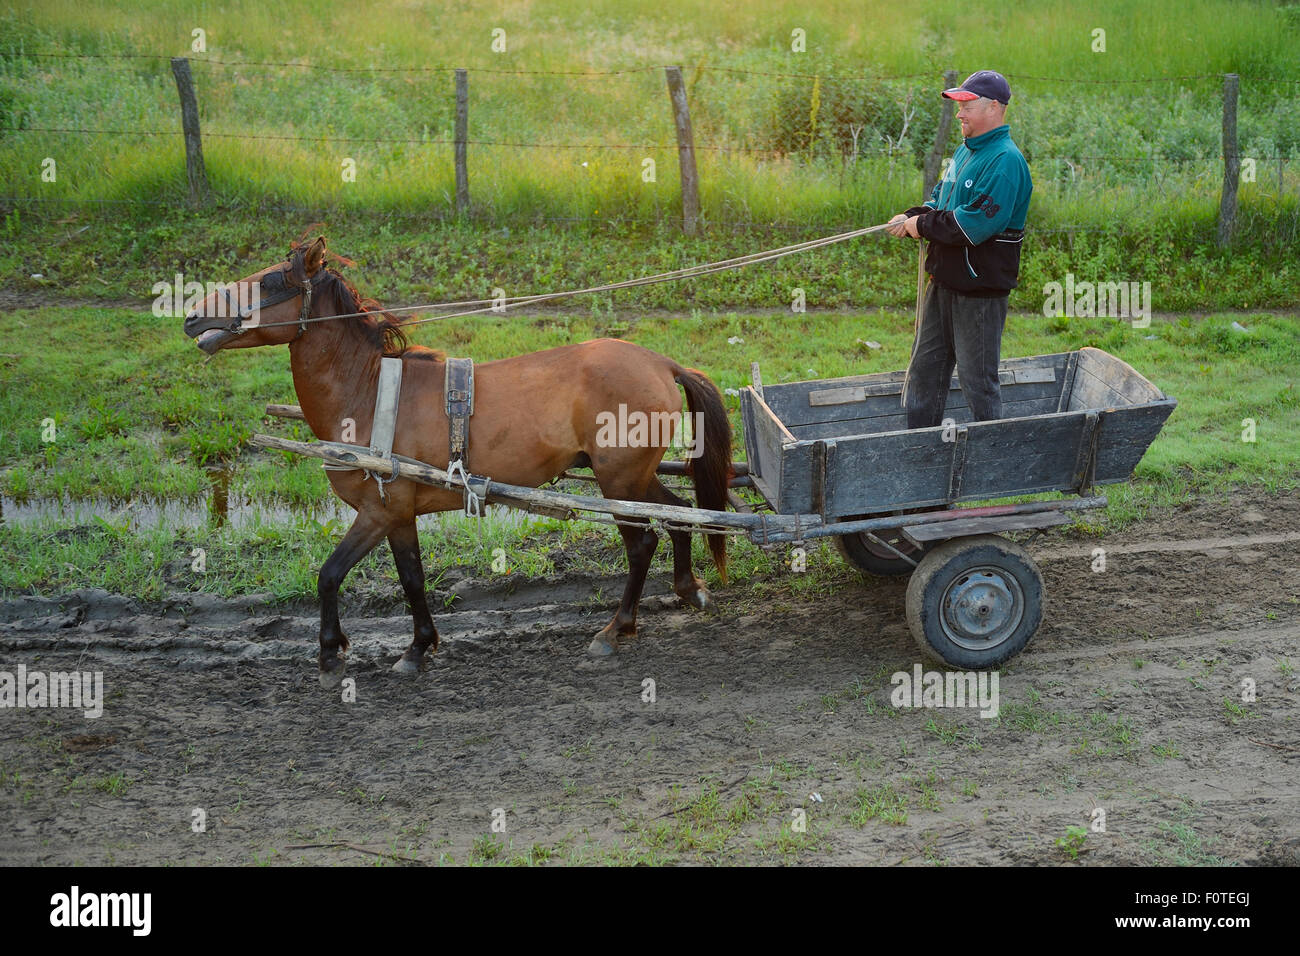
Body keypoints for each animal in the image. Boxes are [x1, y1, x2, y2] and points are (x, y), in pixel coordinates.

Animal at [182, 239, 733, 686]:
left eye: (271, 281)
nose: (190, 316)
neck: (370, 394)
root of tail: (661, 363)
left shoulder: (378, 511)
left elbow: (330, 573)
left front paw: (330, 654)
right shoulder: (399, 512)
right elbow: (411, 577)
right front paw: (418, 646)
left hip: (618, 479)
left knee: (643, 543)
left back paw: (615, 629)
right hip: (631, 477)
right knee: (681, 515)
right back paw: (689, 589)